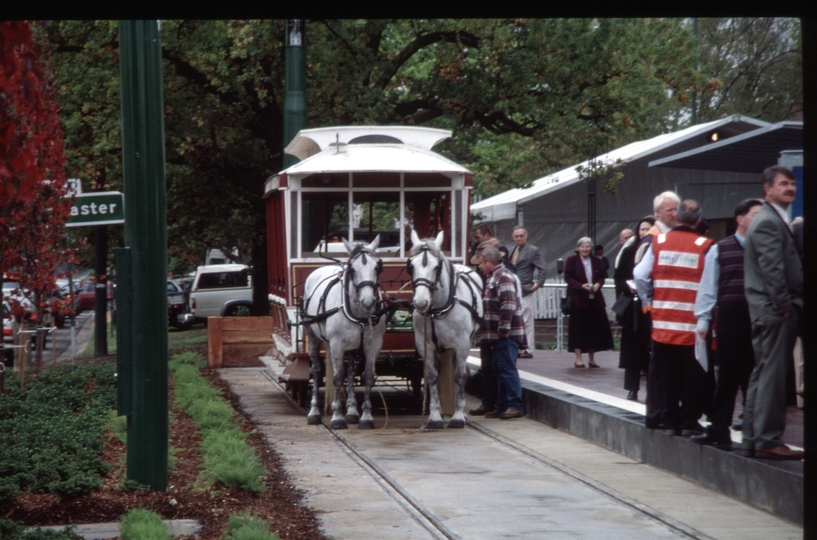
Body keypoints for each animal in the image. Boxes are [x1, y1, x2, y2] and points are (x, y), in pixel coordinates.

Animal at [302, 236, 386, 430]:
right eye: (353, 268)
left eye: (377, 267)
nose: (368, 301)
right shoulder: (336, 345)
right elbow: (337, 378)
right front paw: (337, 417)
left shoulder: (373, 345)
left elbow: (367, 377)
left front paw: (366, 417)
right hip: (313, 336)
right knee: (316, 371)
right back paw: (314, 412)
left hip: (354, 346)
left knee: (351, 370)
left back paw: (353, 412)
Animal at [404, 230, 482, 428]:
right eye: (411, 265)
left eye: (436, 266)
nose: (421, 303)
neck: (436, 309)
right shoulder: (426, 345)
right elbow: (431, 376)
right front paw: (434, 416)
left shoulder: (462, 344)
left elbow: (460, 376)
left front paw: (458, 416)